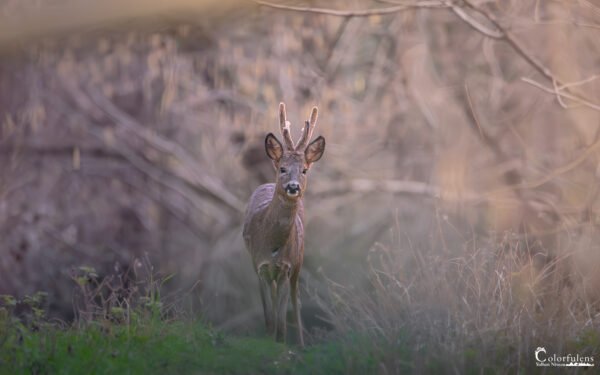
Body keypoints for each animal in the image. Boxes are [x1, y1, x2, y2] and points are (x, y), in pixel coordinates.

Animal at [243, 102, 326, 346]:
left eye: (304, 170)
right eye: (282, 168)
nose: (293, 186)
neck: (272, 245)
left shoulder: (286, 267)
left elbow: (281, 318)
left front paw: (281, 342)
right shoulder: (259, 265)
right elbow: (269, 317)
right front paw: (269, 338)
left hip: (299, 259)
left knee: (295, 299)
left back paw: (301, 342)